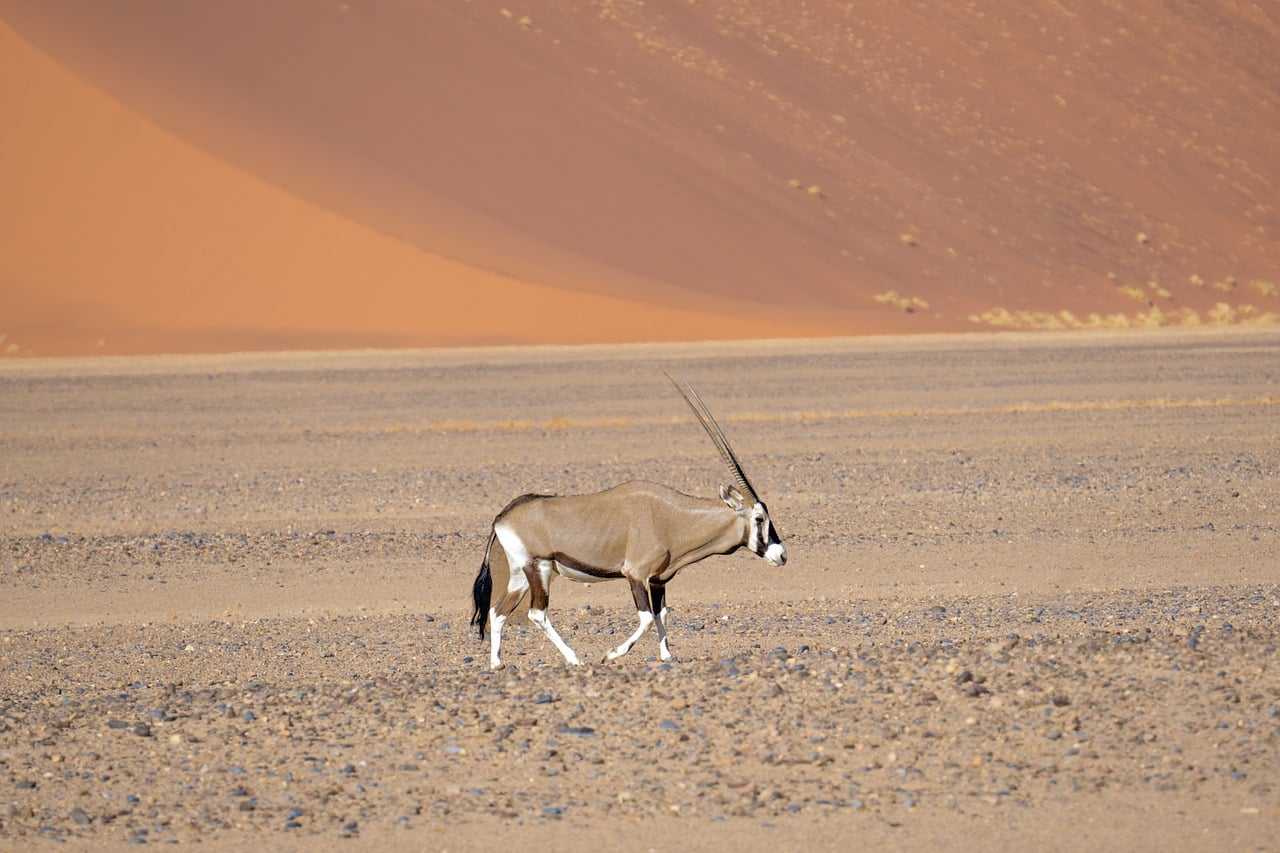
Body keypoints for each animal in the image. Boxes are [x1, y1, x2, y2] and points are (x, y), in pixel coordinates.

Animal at [471, 376, 783, 666]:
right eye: (759, 518)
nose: (781, 555)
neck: (673, 518)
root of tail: (502, 516)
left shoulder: (658, 579)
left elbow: (661, 613)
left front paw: (667, 656)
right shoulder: (635, 574)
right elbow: (645, 618)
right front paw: (611, 654)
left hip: (520, 574)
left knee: (497, 611)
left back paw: (497, 663)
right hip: (540, 568)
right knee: (537, 613)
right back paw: (574, 659)